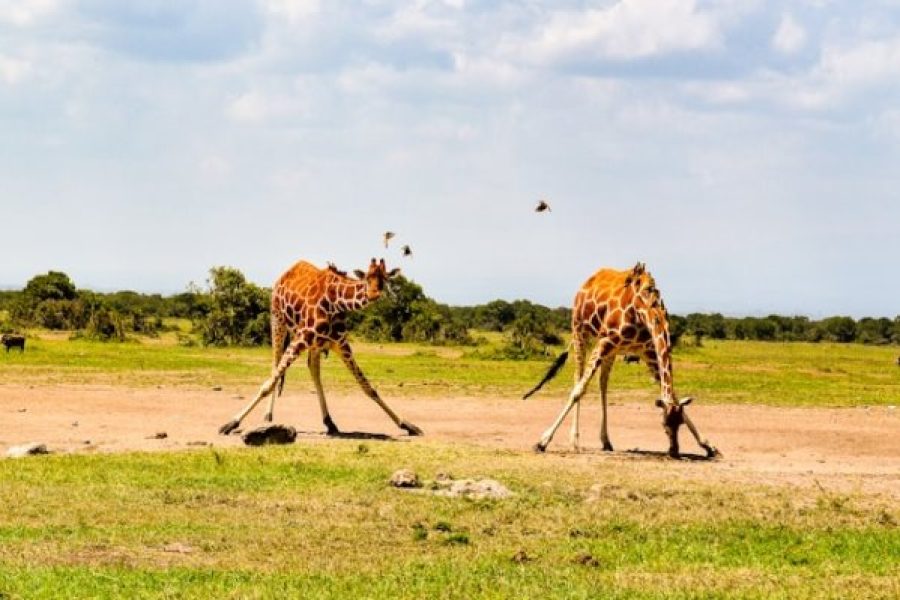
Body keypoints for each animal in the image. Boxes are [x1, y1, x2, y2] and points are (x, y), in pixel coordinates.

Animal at [218, 258, 422, 437]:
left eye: (384, 279)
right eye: (367, 277)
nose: (374, 294)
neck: (335, 302)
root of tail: (285, 274)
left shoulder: (341, 344)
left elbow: (367, 386)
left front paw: (407, 425)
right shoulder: (302, 337)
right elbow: (268, 384)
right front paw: (230, 423)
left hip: (314, 344)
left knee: (313, 370)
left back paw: (330, 422)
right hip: (277, 321)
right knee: (275, 365)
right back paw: (268, 416)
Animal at [523, 262, 718, 458]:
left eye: (680, 423)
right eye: (664, 424)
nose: (675, 451)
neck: (646, 309)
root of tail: (587, 282)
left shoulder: (648, 351)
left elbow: (674, 395)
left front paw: (708, 446)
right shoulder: (605, 341)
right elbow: (579, 391)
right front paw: (542, 441)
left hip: (612, 350)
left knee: (603, 383)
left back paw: (606, 441)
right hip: (580, 332)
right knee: (578, 378)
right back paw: (575, 441)